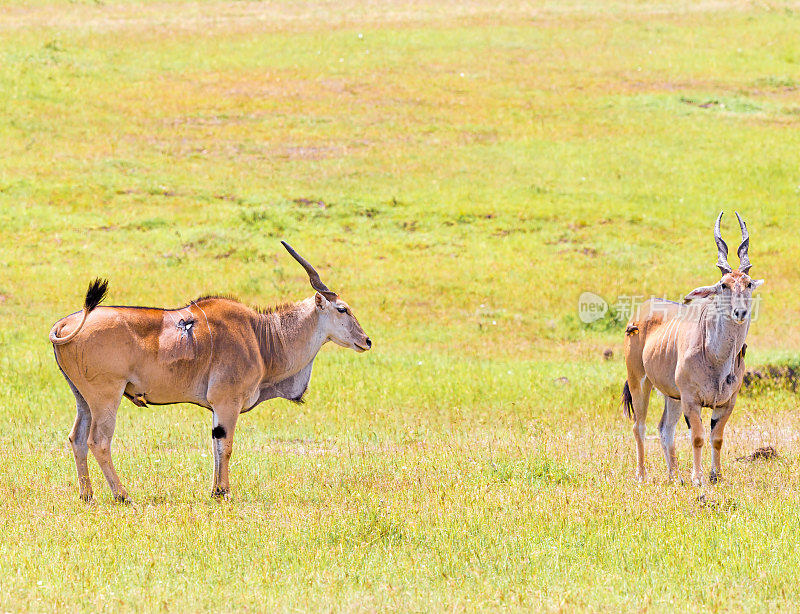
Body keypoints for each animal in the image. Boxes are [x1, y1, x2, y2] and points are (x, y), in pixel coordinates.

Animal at [50, 243, 372, 502]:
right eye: (342, 309)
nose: (367, 340)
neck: (261, 335)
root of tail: (65, 324)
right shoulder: (227, 402)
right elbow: (226, 446)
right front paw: (225, 493)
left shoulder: (218, 408)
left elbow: (216, 445)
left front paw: (215, 491)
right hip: (106, 397)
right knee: (98, 441)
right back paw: (122, 495)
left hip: (83, 399)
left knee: (77, 438)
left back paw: (87, 495)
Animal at [620, 214, 764, 488]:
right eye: (724, 285)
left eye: (748, 283)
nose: (740, 312)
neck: (716, 358)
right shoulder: (691, 400)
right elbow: (697, 437)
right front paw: (697, 478)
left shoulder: (727, 403)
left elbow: (717, 438)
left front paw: (716, 476)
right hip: (639, 382)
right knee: (639, 426)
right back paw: (642, 475)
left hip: (671, 396)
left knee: (664, 429)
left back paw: (674, 476)